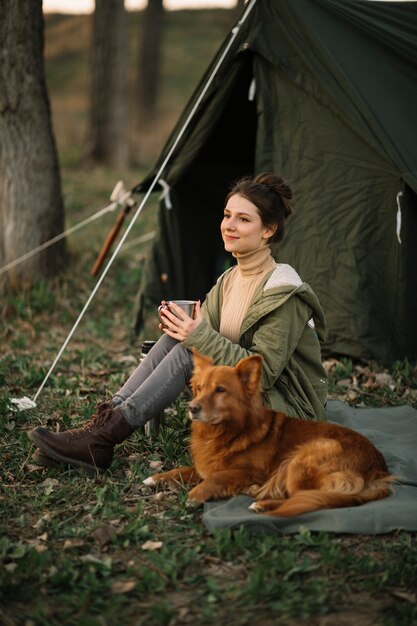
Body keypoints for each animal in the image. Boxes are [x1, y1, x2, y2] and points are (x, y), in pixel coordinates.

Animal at [144, 348, 394, 516]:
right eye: (199, 388)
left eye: (220, 390)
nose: (192, 408)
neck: (229, 431)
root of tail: (378, 469)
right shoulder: (207, 464)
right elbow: (184, 469)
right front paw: (157, 477)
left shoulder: (251, 472)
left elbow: (217, 477)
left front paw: (195, 494)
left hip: (304, 457)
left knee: (305, 498)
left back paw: (262, 503)